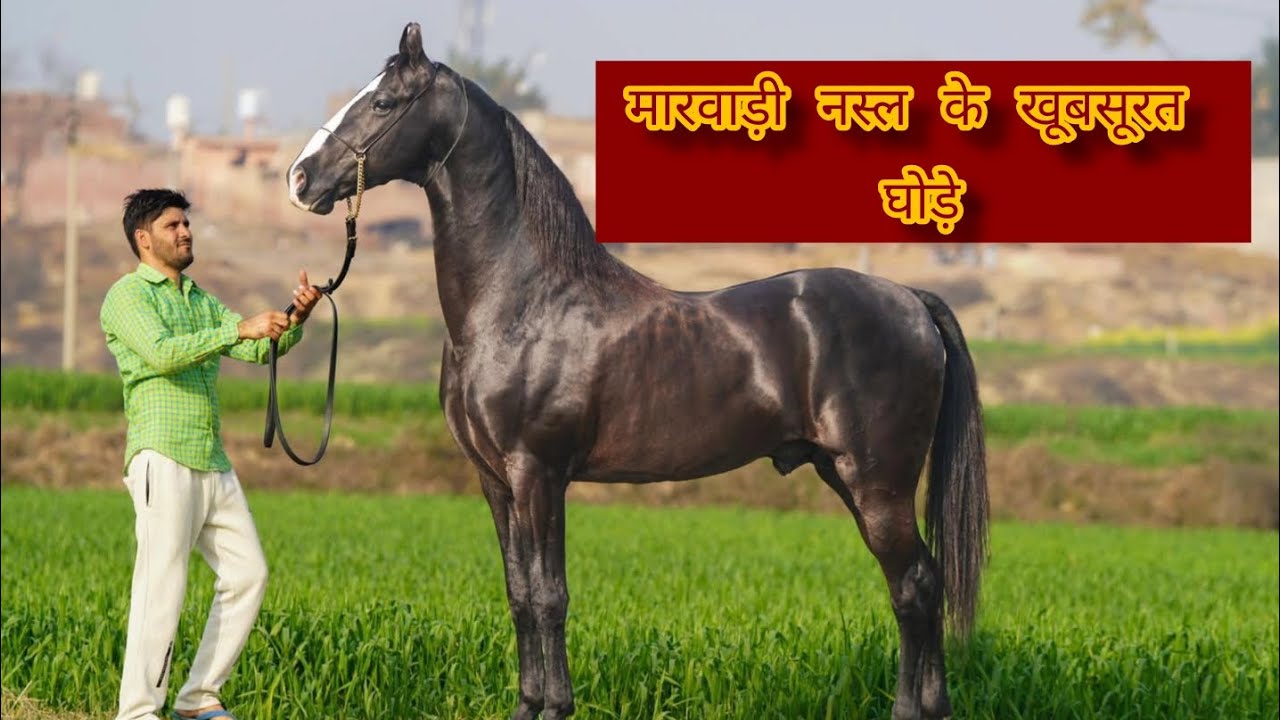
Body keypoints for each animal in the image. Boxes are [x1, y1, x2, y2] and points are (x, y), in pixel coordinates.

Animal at [286, 22, 989, 720]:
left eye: (382, 103)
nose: (299, 178)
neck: (520, 302)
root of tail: (909, 299)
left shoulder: (539, 474)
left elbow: (549, 596)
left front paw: (556, 707)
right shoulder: (495, 480)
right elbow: (519, 596)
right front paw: (527, 705)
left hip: (876, 483)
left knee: (913, 587)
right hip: (846, 475)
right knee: (920, 585)